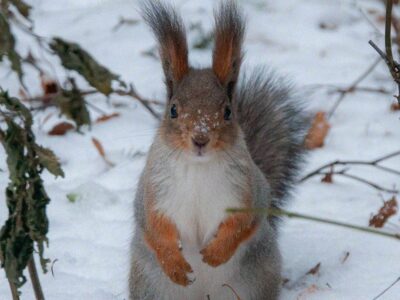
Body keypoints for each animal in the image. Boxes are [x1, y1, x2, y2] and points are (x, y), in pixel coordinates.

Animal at [130, 1, 308, 298]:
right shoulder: (153, 193)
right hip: (150, 286)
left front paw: (215, 254)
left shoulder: (248, 189)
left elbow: (243, 222)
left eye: (227, 112)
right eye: (173, 110)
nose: (201, 138)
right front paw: (174, 265)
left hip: (254, 282)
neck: (198, 167)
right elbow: (154, 228)